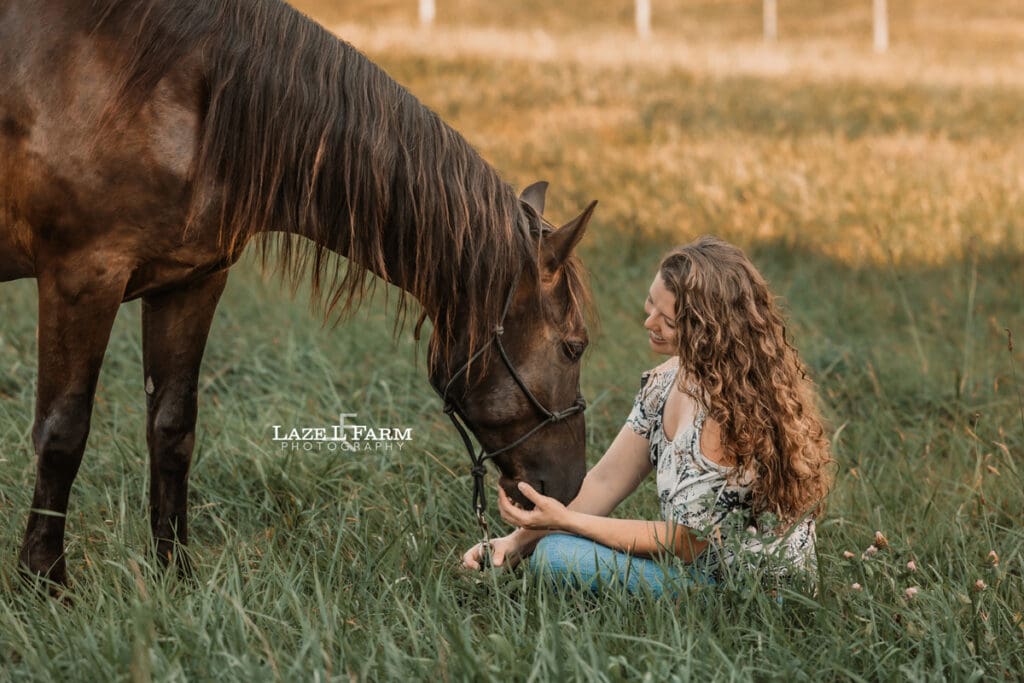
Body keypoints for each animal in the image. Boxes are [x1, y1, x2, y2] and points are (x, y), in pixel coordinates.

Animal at [0, 0, 596, 587]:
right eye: (574, 347)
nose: (569, 489)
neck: (174, 89)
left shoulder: (191, 283)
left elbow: (171, 428)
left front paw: (176, 571)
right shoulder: (82, 279)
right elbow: (62, 433)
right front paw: (45, 580)